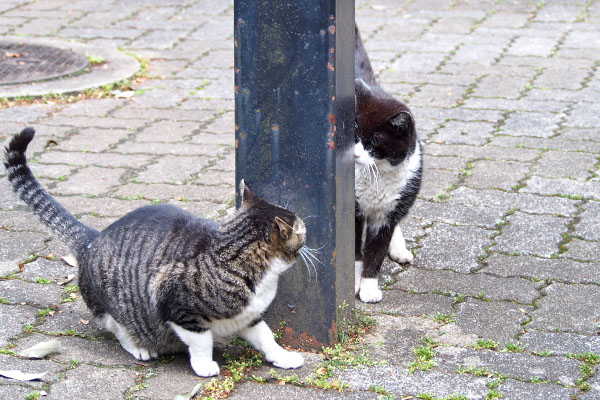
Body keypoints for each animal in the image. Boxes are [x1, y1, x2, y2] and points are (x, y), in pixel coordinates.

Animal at [3, 127, 304, 376]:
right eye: (302, 231)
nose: (307, 234)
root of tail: (93, 238)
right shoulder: (174, 303)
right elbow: (202, 340)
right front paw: (204, 365)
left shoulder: (249, 317)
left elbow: (266, 337)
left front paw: (282, 356)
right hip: (114, 307)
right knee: (118, 327)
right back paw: (139, 346)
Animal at [352, 25, 422, 304]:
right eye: (353, 133)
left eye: (374, 141)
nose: (354, 155)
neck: (378, 175)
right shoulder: (353, 210)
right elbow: (354, 249)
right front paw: (352, 282)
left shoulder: (386, 215)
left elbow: (376, 251)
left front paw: (369, 287)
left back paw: (399, 248)